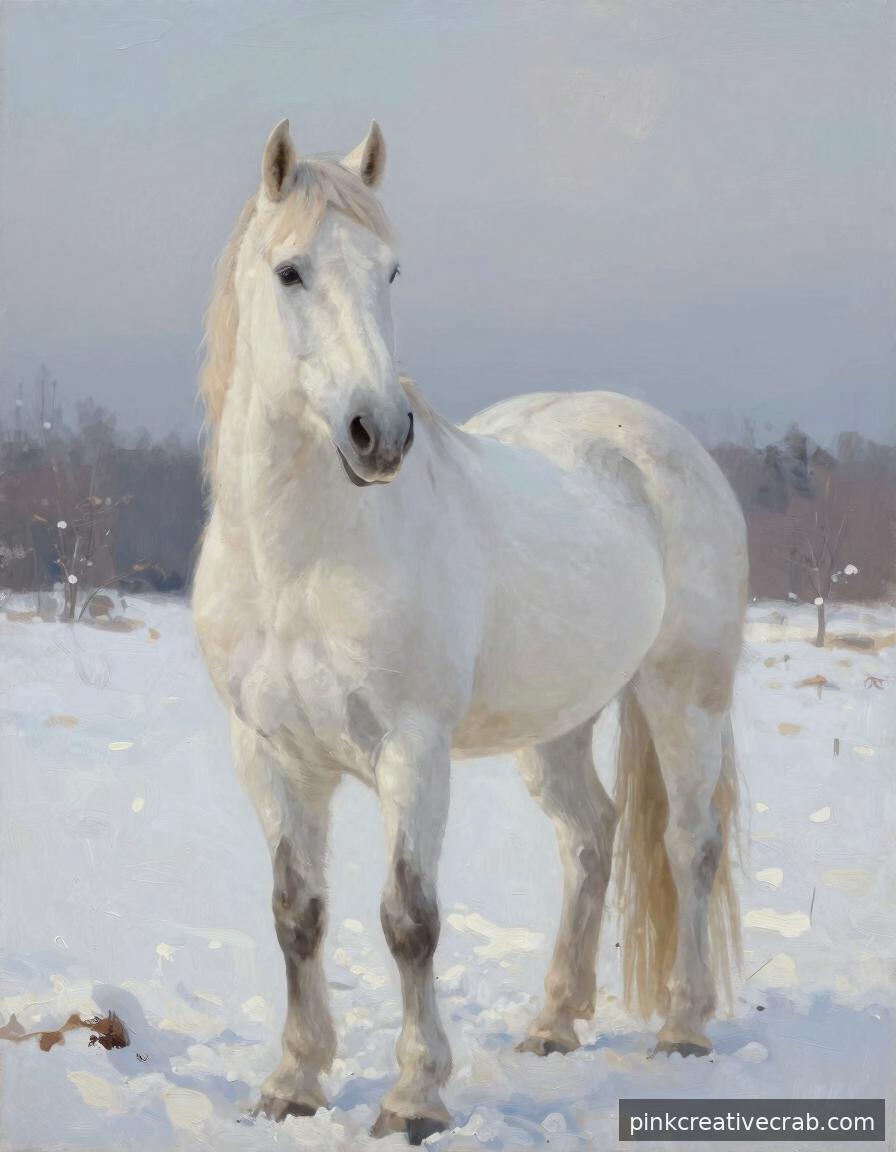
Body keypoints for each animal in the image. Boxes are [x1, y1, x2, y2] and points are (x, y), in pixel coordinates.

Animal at [191, 118, 747, 1144]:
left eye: (392, 271)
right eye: (290, 271)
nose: (379, 434)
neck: (300, 562)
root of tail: (661, 439)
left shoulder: (412, 751)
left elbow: (409, 919)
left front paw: (414, 1099)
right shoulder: (272, 755)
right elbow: (298, 914)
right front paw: (294, 1082)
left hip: (685, 696)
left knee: (690, 844)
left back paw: (684, 1029)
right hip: (559, 725)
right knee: (591, 838)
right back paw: (555, 1023)